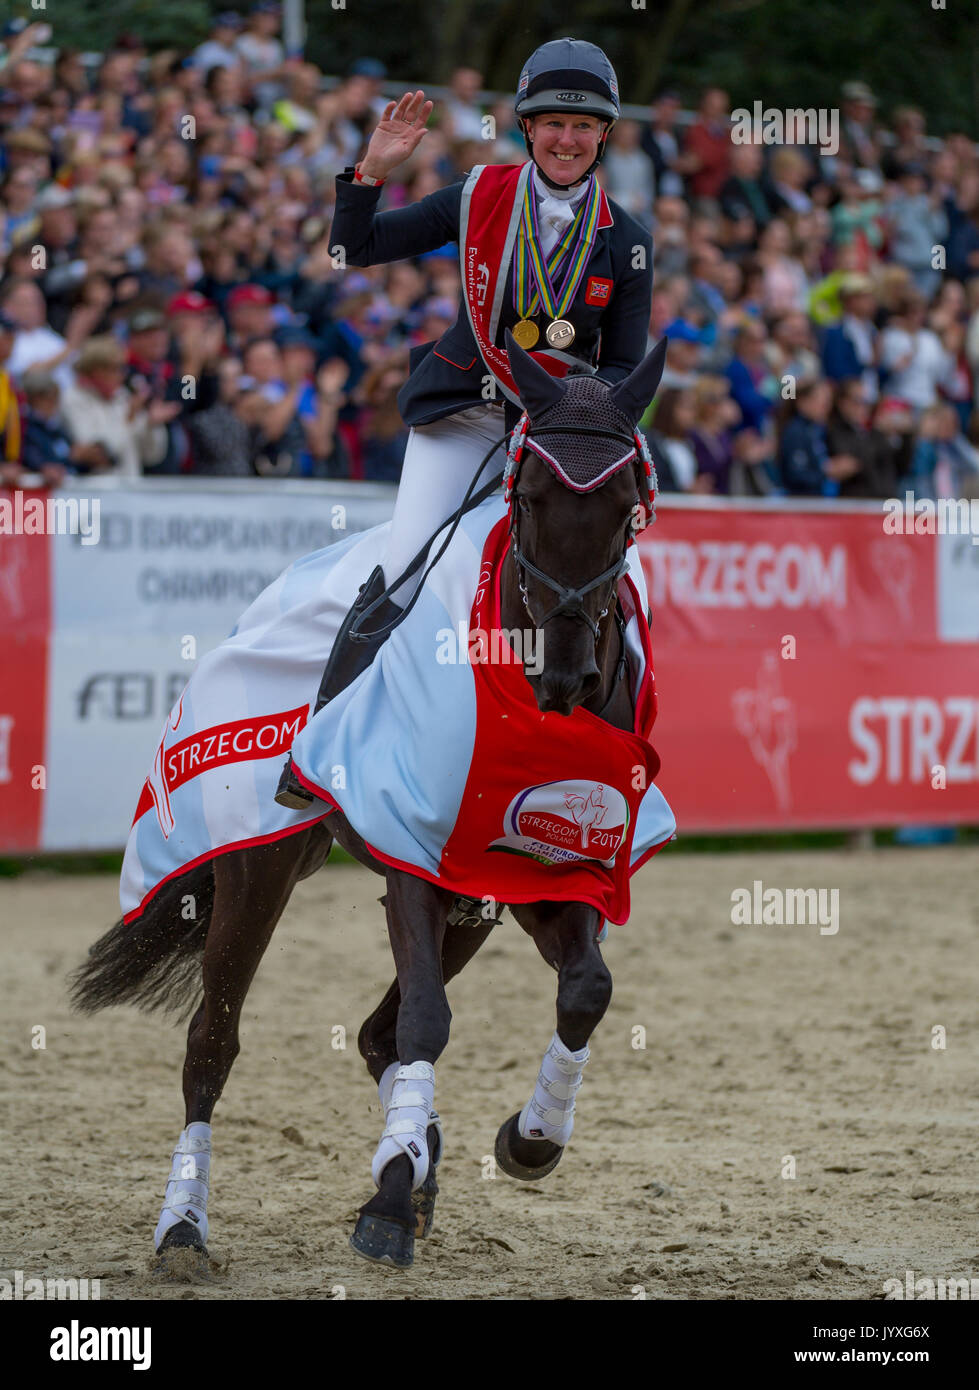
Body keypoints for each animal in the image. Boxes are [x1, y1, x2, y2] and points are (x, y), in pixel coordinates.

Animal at [66, 333, 664, 1273]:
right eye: (528, 499)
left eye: (627, 508)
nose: (565, 676)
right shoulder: (410, 851)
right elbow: (426, 1020)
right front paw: (390, 1195)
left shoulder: (540, 865)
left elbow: (585, 990)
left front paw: (527, 1139)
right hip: (255, 865)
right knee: (213, 1043)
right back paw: (185, 1229)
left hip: (467, 904)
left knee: (373, 1034)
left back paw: (416, 1163)